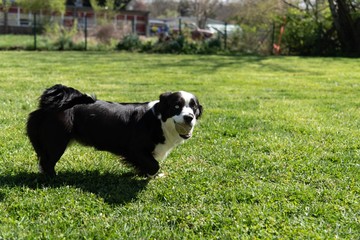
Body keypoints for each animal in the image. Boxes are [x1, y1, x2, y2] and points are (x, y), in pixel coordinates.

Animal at [26, 84, 202, 176]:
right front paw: (151, 174)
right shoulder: (135, 148)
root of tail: (45, 108)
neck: (158, 120)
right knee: (47, 162)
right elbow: (154, 165)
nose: (189, 117)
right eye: (176, 106)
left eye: (194, 108)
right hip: (56, 141)